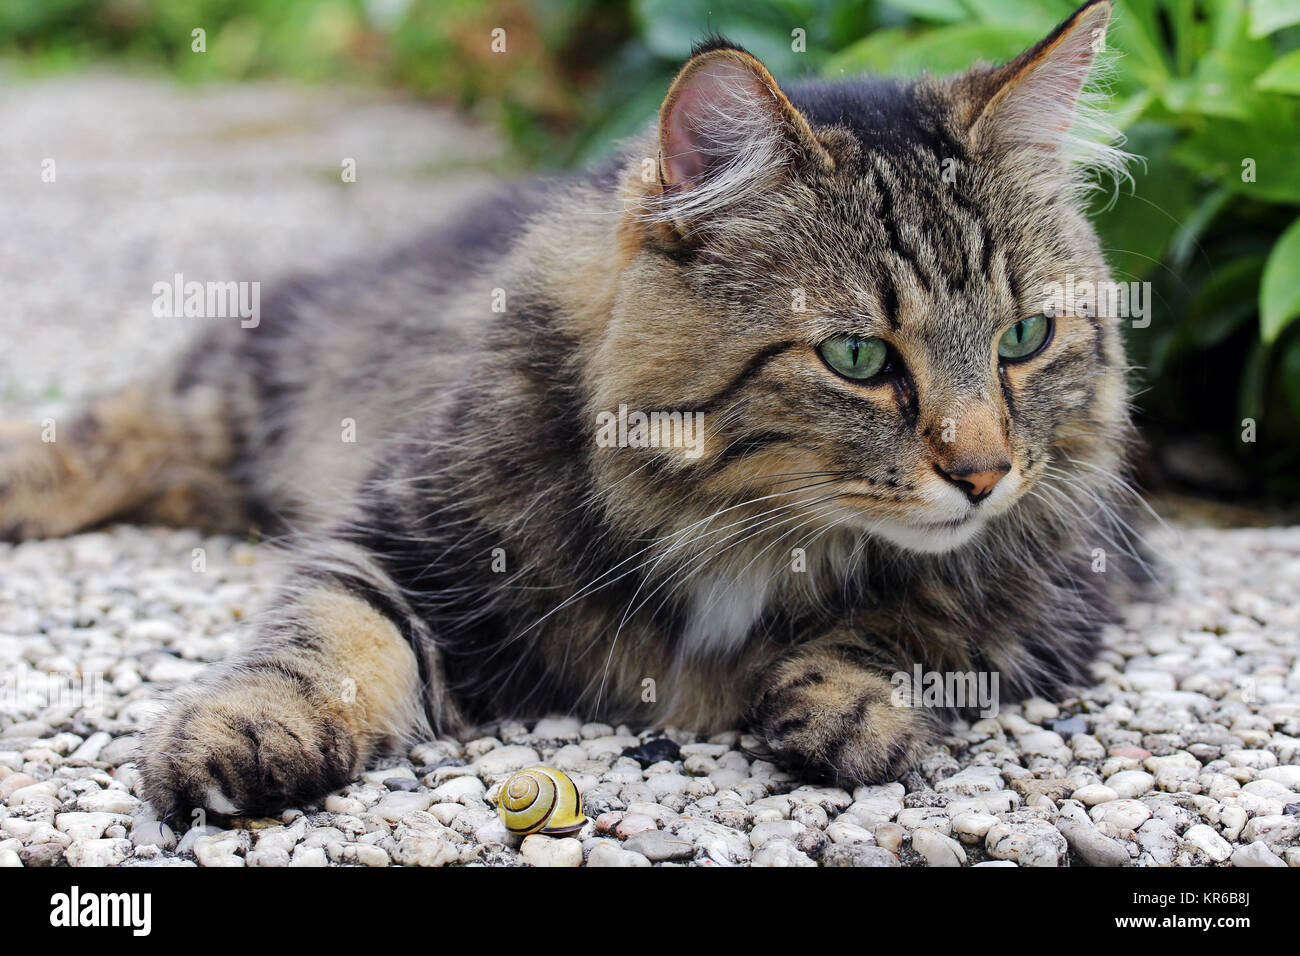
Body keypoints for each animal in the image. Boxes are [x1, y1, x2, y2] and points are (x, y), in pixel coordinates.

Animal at [0, 1, 1149, 822]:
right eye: (858, 357)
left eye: (1022, 339)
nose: (983, 474)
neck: (736, 531)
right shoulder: (399, 545)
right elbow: (318, 645)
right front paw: (240, 736)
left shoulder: (1063, 590)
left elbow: (916, 623)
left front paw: (847, 704)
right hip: (252, 389)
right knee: (115, 428)